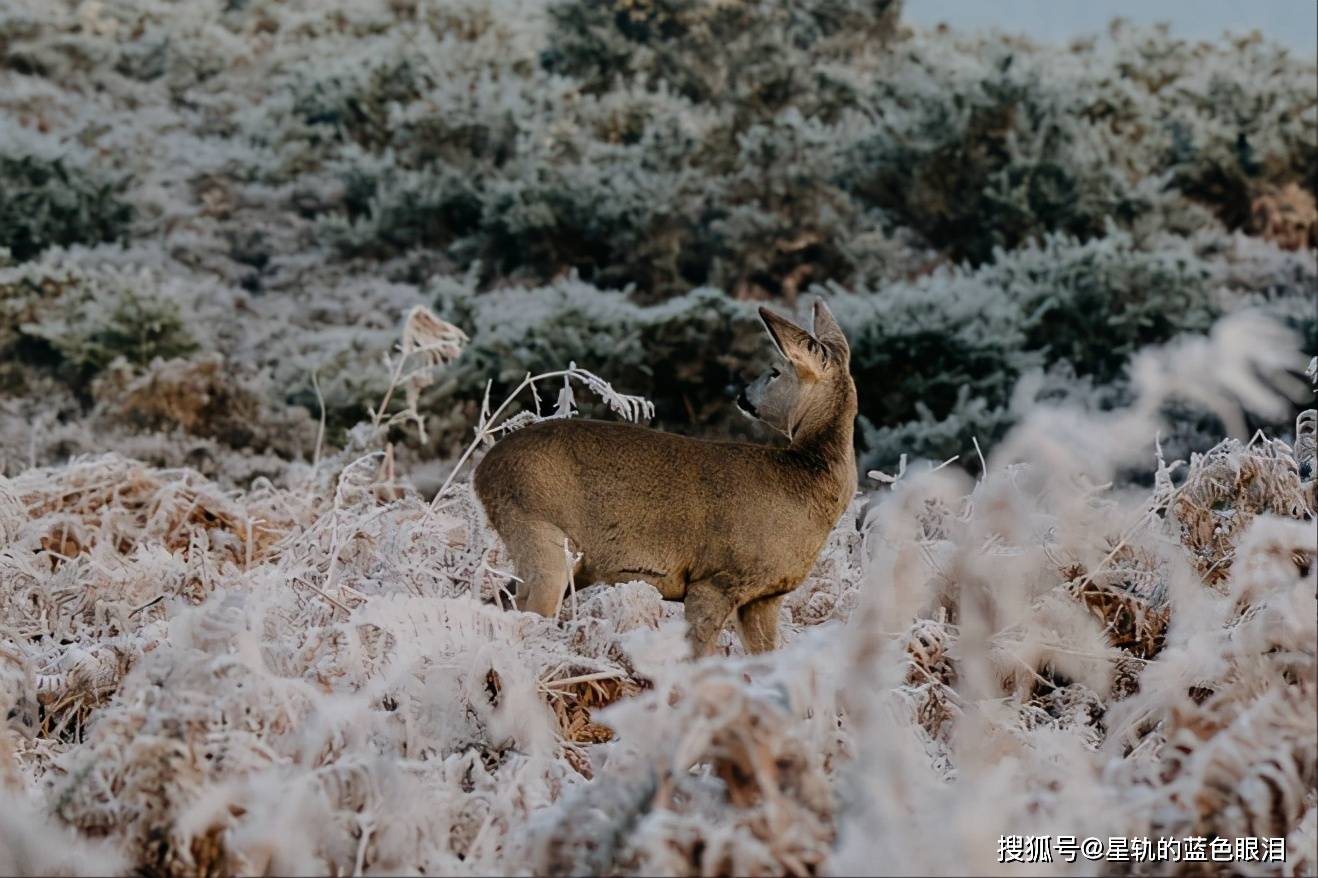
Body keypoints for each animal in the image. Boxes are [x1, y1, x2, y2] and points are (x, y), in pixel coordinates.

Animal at [471, 297, 854, 653]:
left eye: (774, 371)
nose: (742, 396)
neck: (805, 479)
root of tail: (482, 472)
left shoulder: (765, 597)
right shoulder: (715, 578)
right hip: (539, 533)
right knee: (523, 615)